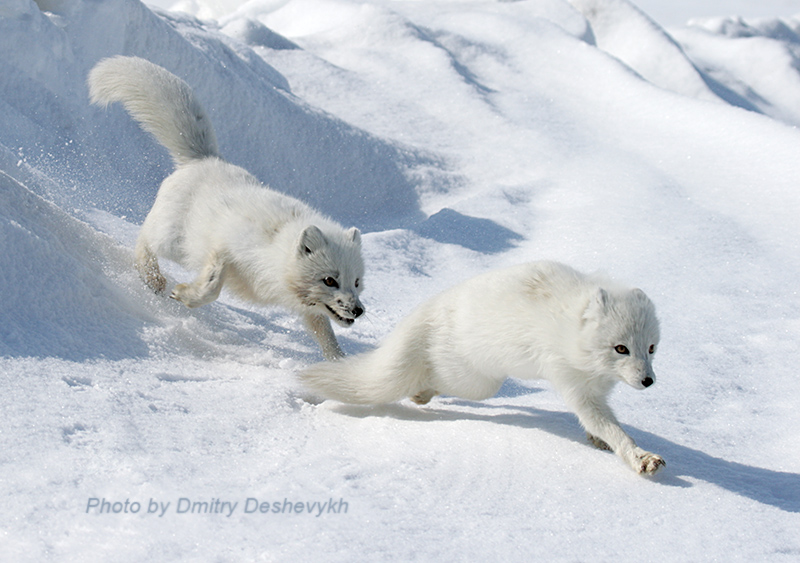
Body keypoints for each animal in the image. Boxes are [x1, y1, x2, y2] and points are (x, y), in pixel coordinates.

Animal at [88, 55, 366, 360]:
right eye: (329, 280)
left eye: (356, 282)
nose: (358, 310)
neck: (275, 250)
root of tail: (205, 158)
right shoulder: (224, 249)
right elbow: (212, 285)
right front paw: (185, 294)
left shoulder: (306, 307)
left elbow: (326, 334)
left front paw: (341, 365)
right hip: (175, 243)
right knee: (144, 237)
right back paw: (151, 277)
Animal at [298, 262, 664, 474]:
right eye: (621, 348)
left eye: (651, 348)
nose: (648, 381)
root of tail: (434, 307)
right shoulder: (575, 386)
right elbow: (611, 428)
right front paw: (639, 456)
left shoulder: (597, 390)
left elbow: (600, 425)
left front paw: (598, 440)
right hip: (479, 382)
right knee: (435, 379)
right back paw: (420, 395)